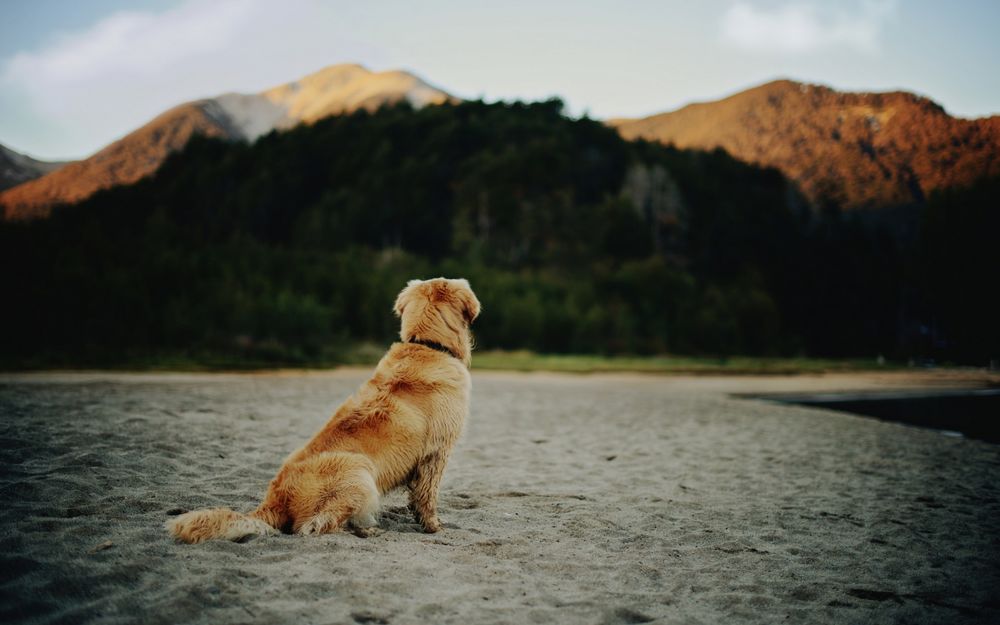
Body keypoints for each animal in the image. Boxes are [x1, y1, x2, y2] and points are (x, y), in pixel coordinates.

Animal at [167, 278, 480, 540]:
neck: (429, 346)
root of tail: (275, 500)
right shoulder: (436, 451)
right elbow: (428, 495)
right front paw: (433, 526)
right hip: (359, 471)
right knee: (314, 526)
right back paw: (366, 531)